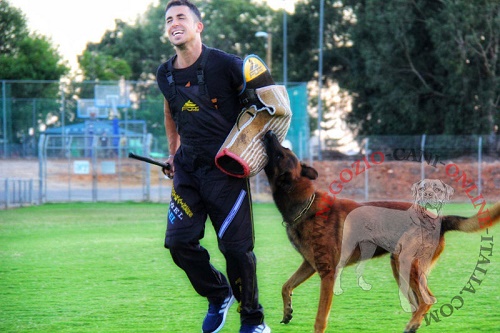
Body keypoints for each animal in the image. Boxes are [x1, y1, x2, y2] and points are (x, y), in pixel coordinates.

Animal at [262, 131, 500, 332]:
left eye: (280, 153)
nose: (269, 133)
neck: (305, 205)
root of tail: (438, 219)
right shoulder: (309, 265)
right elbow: (285, 286)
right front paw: (287, 311)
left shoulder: (327, 273)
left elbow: (320, 319)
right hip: (400, 269)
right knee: (417, 303)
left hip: (405, 263)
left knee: (427, 300)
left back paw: (412, 324)